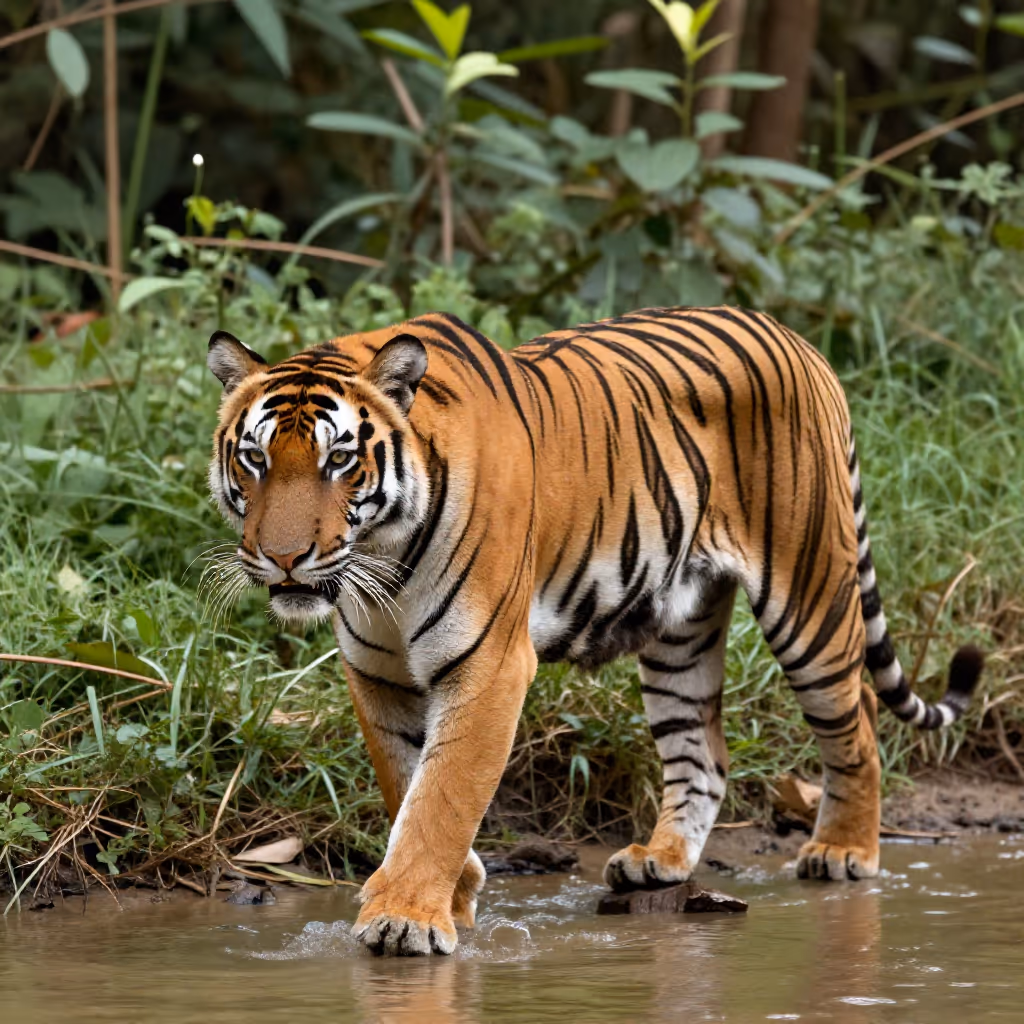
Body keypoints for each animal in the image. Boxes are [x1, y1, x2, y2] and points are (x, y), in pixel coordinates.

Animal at [206, 306, 983, 956]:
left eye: (339, 459)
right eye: (255, 459)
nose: (283, 558)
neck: (383, 560)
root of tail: (796, 338)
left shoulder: (488, 666)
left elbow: (443, 797)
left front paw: (407, 918)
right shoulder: (377, 673)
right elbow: (407, 786)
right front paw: (454, 895)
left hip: (811, 593)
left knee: (858, 726)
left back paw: (844, 852)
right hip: (680, 631)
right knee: (704, 753)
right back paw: (659, 862)